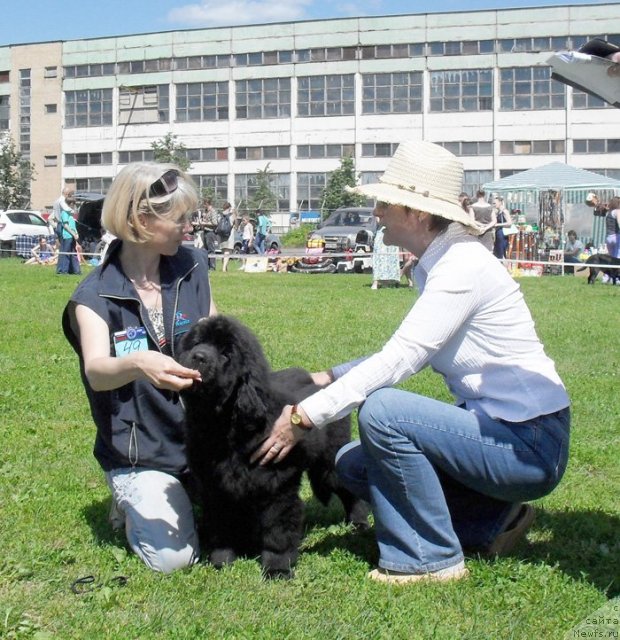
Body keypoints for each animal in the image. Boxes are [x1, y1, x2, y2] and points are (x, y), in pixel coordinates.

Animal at [177, 316, 368, 580]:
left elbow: (278, 530)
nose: (198, 356)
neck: (225, 428)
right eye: (197, 342)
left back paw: (359, 523)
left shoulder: (277, 487)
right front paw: (221, 560)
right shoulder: (215, 487)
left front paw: (277, 567)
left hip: (329, 463)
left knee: (349, 491)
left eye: (226, 354)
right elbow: (221, 525)